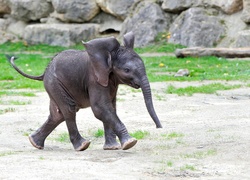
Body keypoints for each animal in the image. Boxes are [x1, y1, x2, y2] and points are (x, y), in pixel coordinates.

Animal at [8, 31, 162, 151]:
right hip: (54, 83)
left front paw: (112, 148)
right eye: (127, 70)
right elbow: (100, 108)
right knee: (69, 110)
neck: (108, 56)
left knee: (57, 115)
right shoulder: (94, 79)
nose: (159, 127)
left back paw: (35, 143)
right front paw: (130, 143)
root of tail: (44, 72)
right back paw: (82, 146)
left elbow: (110, 107)